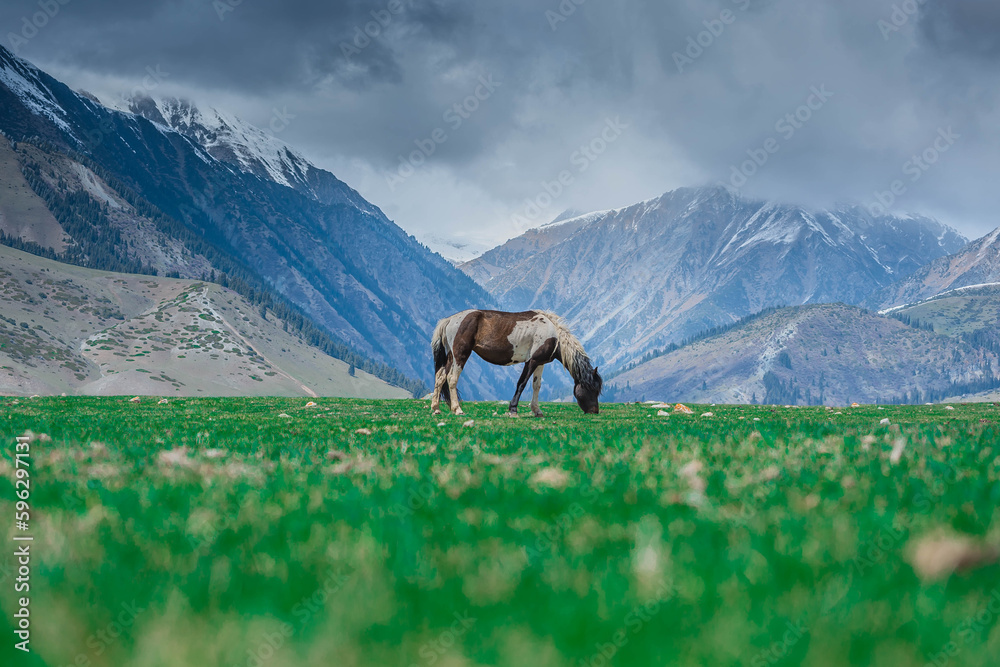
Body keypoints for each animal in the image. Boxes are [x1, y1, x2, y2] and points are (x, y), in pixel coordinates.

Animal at [430, 309, 603, 417]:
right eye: (593, 389)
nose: (595, 411)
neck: (554, 335)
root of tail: (449, 320)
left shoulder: (540, 363)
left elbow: (536, 385)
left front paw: (537, 411)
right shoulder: (532, 361)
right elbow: (522, 384)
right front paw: (513, 409)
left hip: (451, 356)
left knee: (440, 377)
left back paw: (436, 409)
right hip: (460, 355)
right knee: (452, 379)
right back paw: (457, 409)